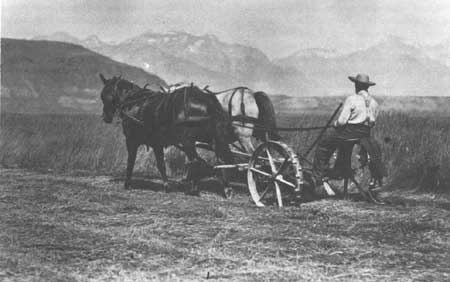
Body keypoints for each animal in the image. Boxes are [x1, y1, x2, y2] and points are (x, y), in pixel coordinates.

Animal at [99, 74, 236, 195]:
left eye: (105, 95)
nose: (106, 117)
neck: (134, 103)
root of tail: (207, 101)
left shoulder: (131, 140)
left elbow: (130, 162)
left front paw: (127, 184)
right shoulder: (157, 143)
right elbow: (161, 164)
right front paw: (166, 185)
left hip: (187, 141)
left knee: (196, 161)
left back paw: (194, 190)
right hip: (213, 139)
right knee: (220, 160)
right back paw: (226, 188)